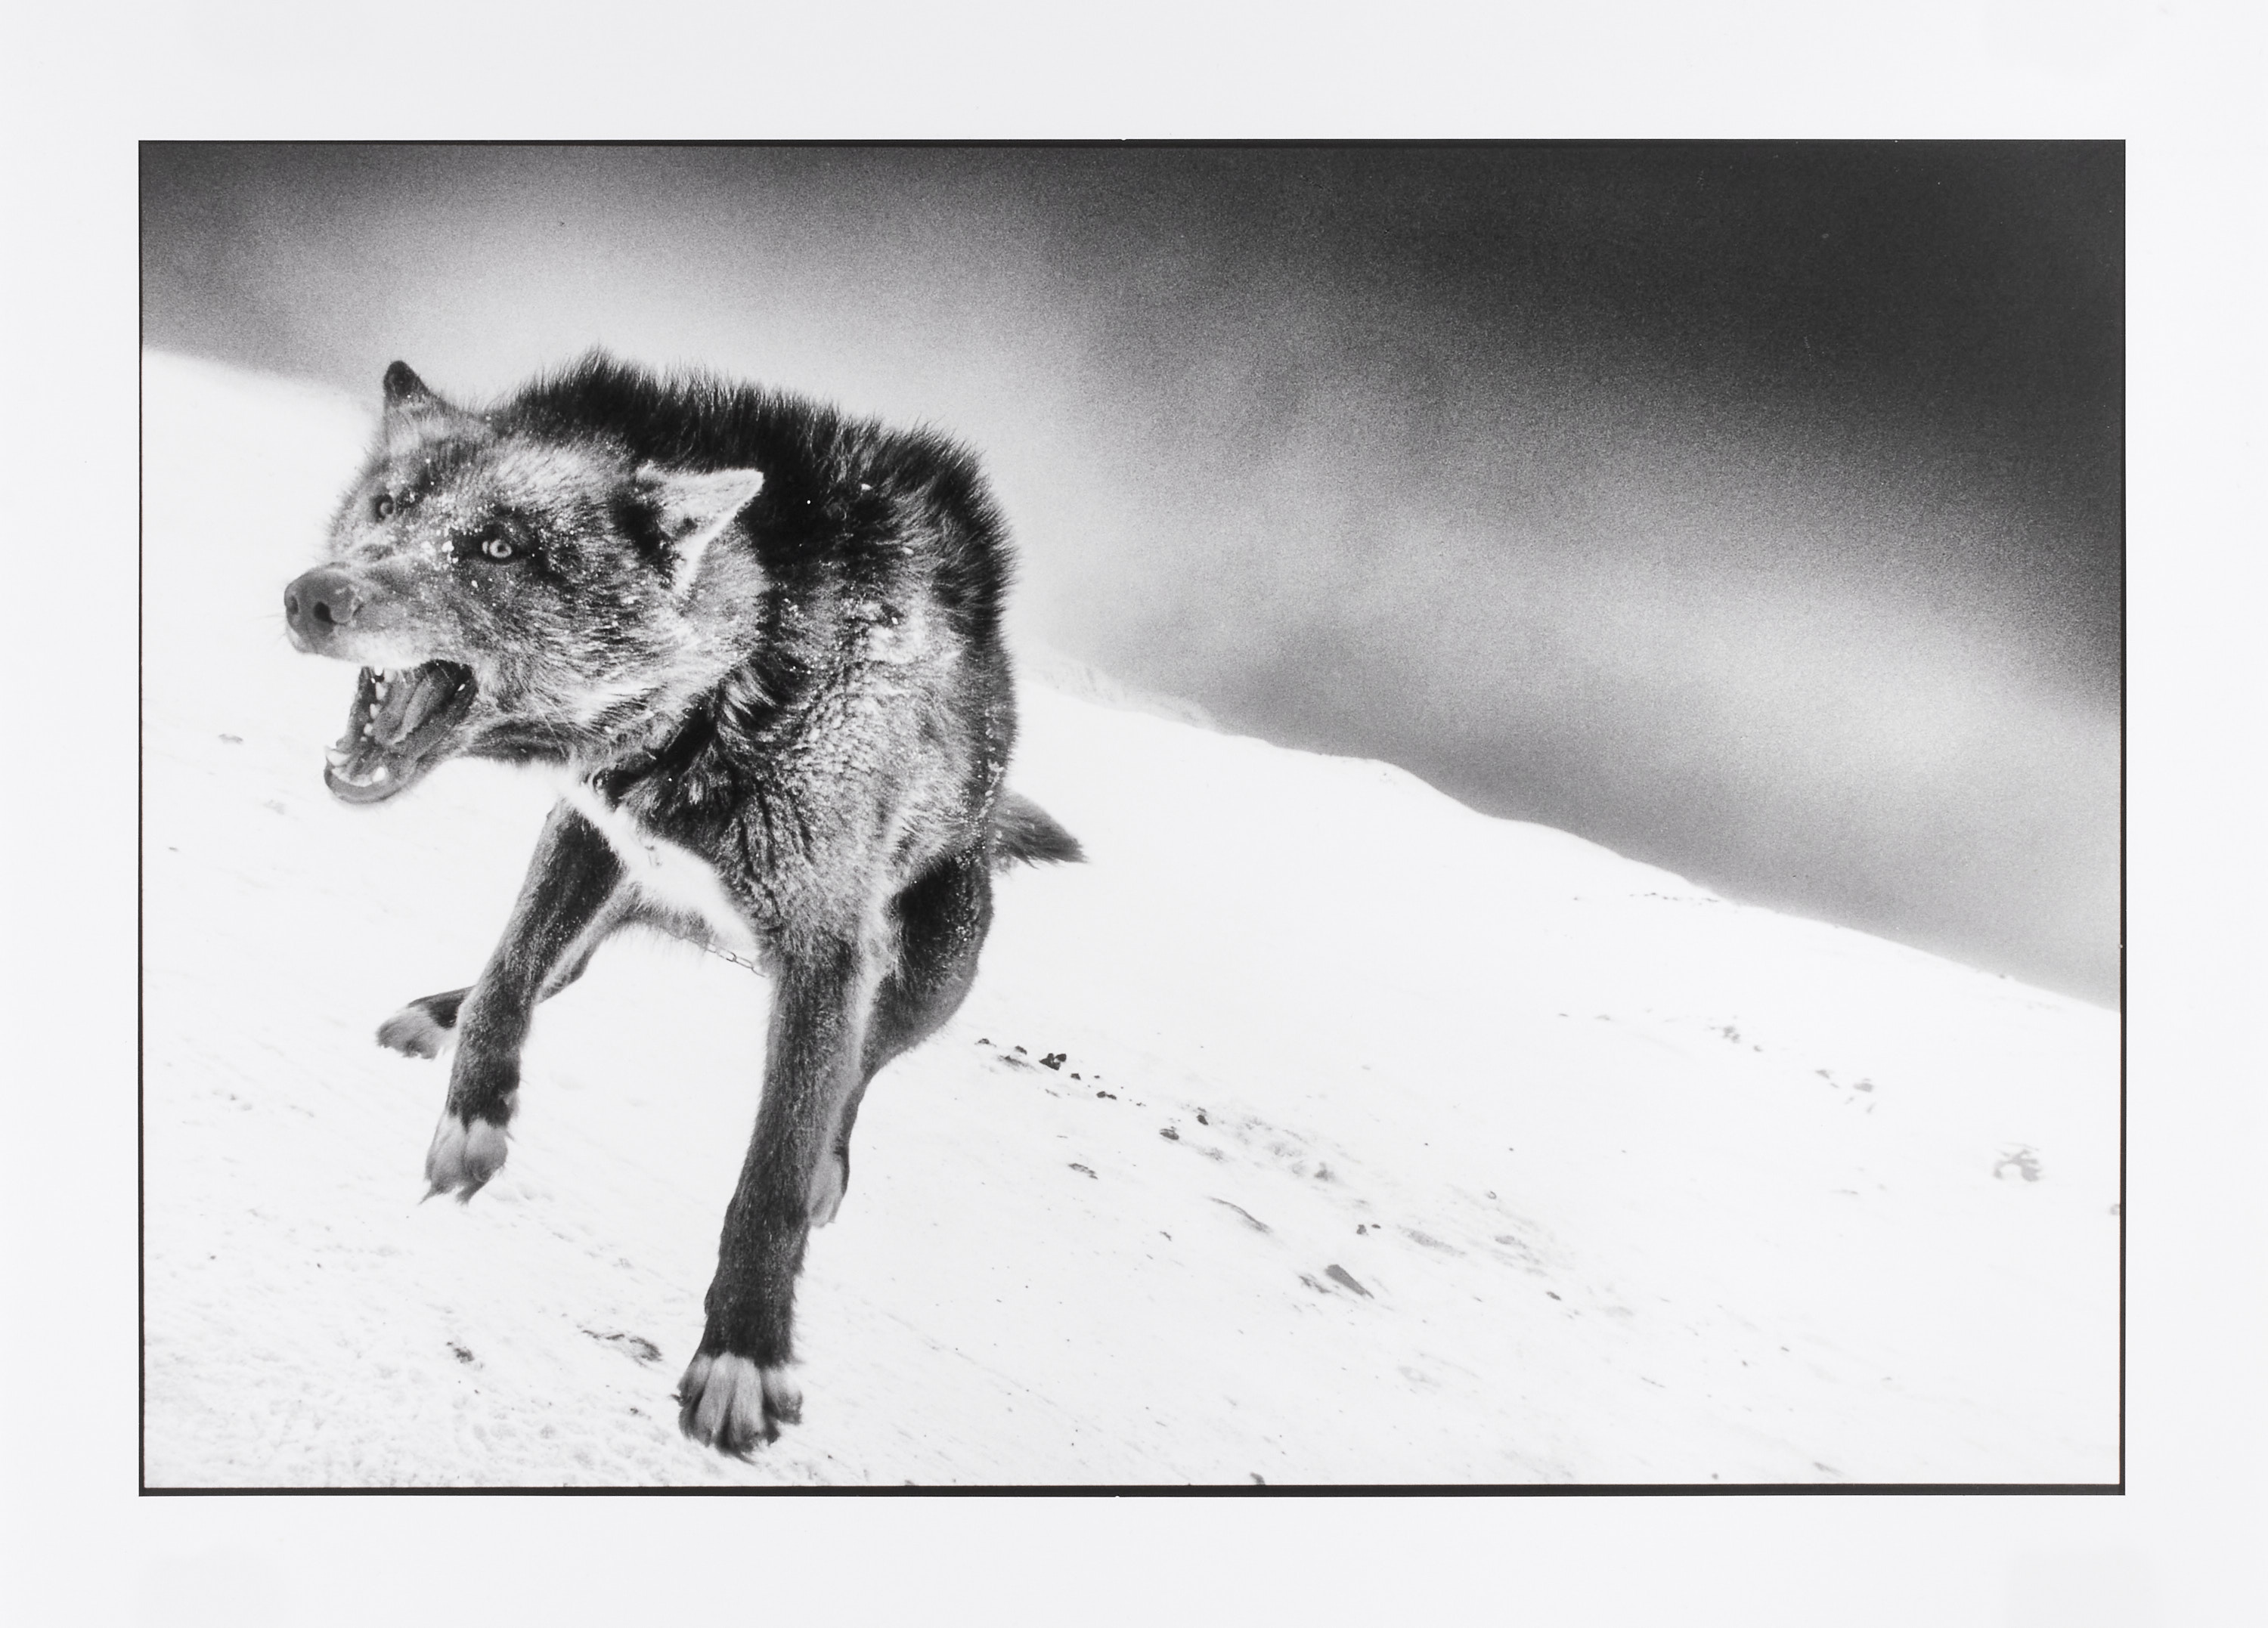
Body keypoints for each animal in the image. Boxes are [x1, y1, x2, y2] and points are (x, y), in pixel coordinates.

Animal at [282, 356, 1080, 1456]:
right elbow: (506, 984)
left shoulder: (828, 953)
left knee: (860, 1071)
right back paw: (441, 1012)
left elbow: (772, 1176)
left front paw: (745, 1352)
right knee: (548, 970)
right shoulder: (587, 824)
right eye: (389, 507)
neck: (735, 690)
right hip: (610, 884)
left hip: (927, 974)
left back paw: (832, 1162)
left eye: (500, 548)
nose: (312, 596)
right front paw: (471, 1121)